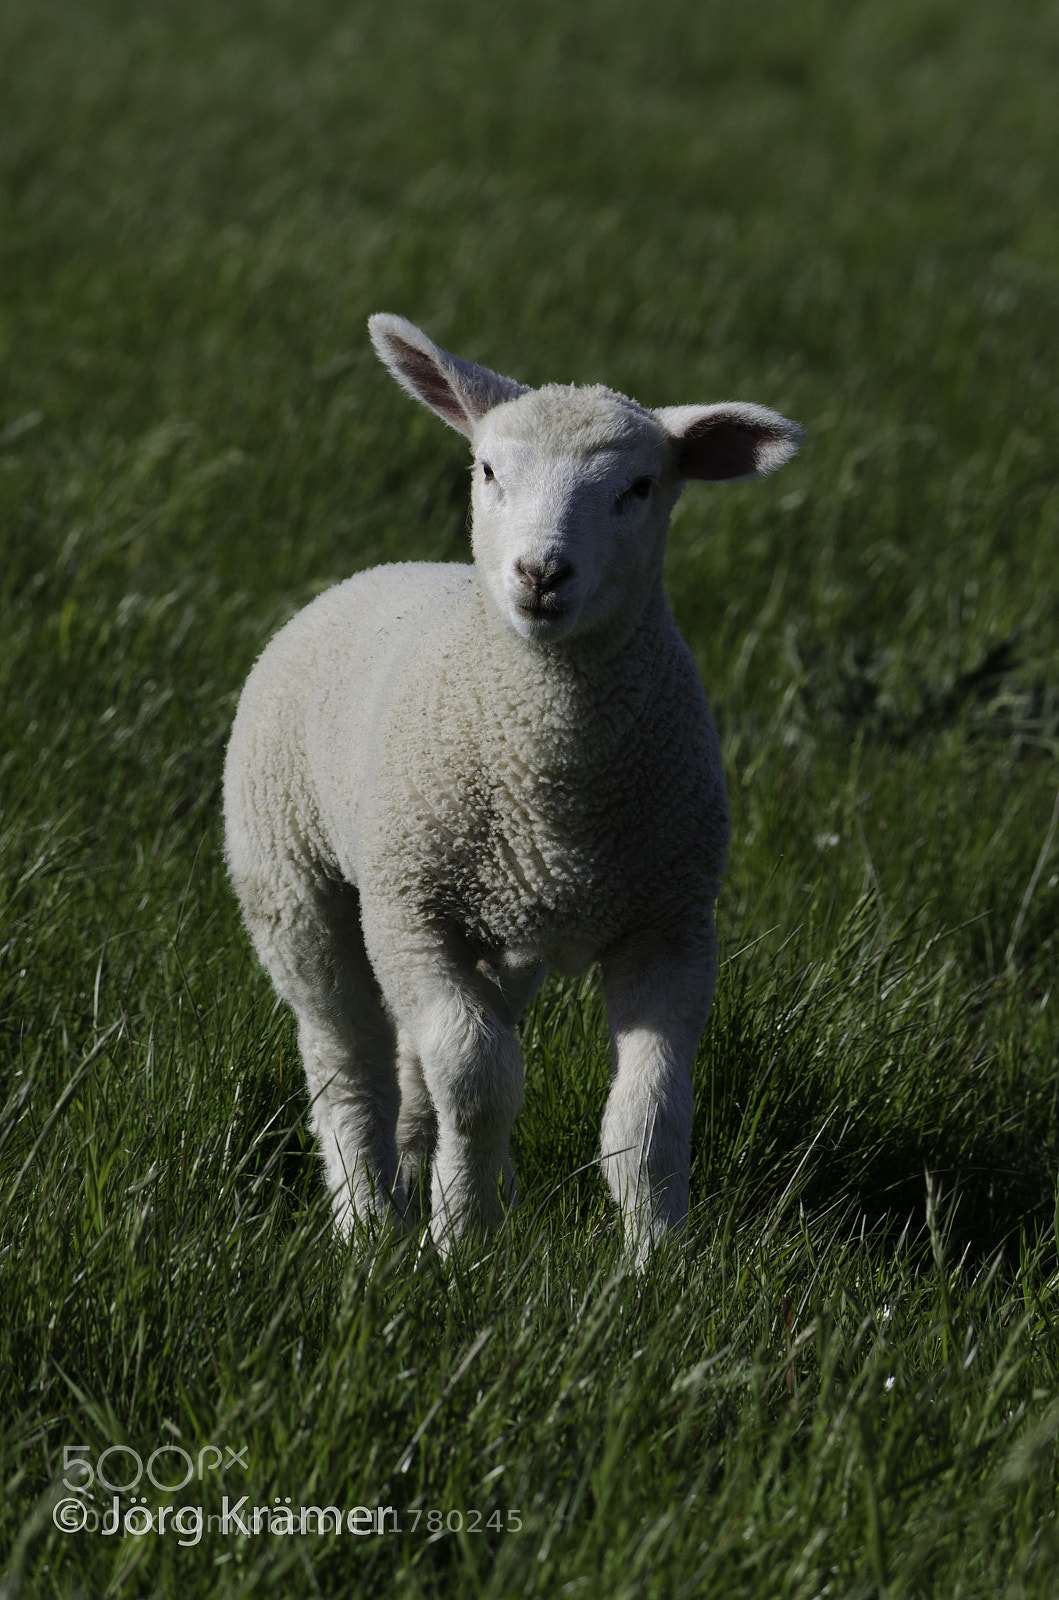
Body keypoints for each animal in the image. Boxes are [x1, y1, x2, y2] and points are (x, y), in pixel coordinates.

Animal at [223, 314, 802, 1264]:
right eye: (489, 471)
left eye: (639, 487)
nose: (540, 573)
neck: (554, 780)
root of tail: (383, 569)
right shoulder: (412, 911)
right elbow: (478, 1079)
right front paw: (462, 1244)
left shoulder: (671, 926)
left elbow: (645, 1114)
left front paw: (654, 1259)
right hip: (295, 884)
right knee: (347, 1058)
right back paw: (366, 1221)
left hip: (500, 934)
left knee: (417, 1065)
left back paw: (430, 1181)